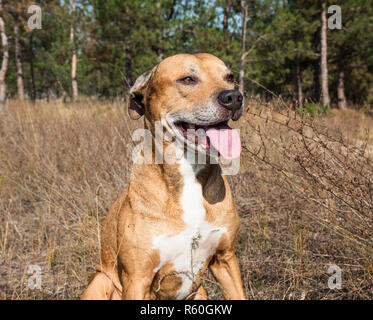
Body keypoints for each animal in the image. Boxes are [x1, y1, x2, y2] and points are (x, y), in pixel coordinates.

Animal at [80, 52, 246, 300]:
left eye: (230, 77)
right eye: (187, 79)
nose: (234, 97)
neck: (189, 174)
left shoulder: (225, 259)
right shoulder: (137, 278)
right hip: (100, 281)